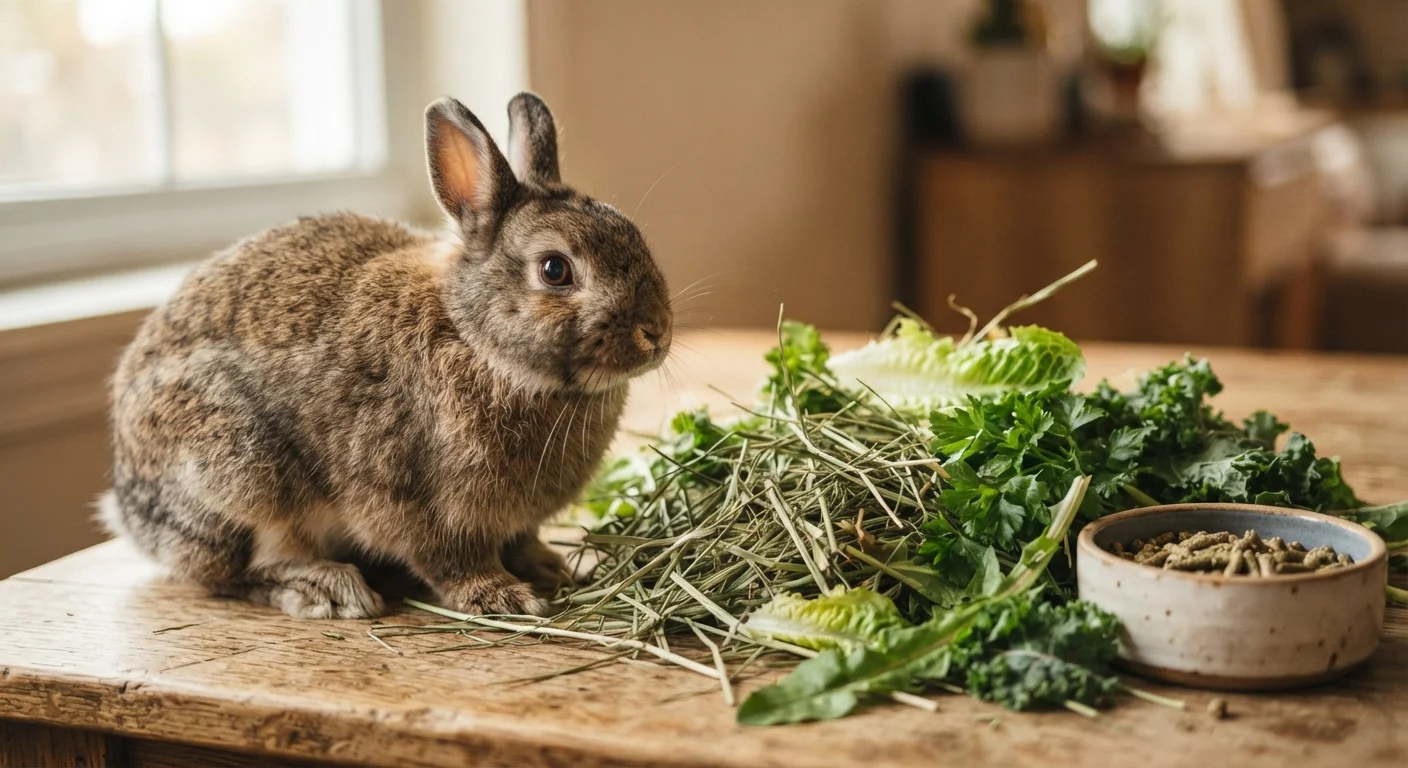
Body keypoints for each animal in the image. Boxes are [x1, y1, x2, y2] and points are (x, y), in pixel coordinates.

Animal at [99, 93, 672, 619]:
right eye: (555, 270)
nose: (656, 333)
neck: (474, 339)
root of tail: (128, 509)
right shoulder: (423, 503)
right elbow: (451, 561)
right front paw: (503, 597)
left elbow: (522, 540)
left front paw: (552, 569)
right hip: (240, 474)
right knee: (236, 571)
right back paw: (326, 588)